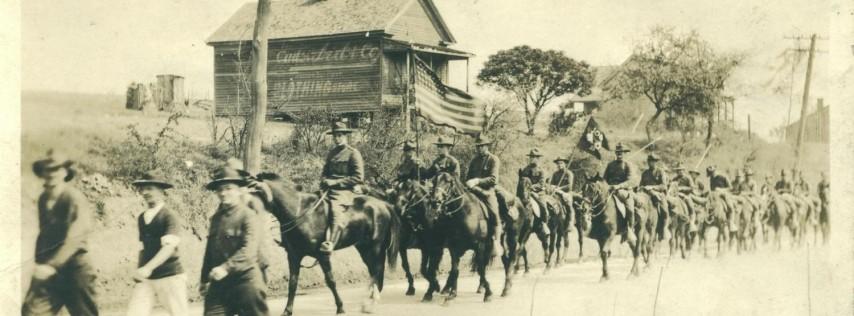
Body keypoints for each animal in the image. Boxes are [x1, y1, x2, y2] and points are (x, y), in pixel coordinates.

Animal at [251, 174, 402, 314]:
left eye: (254, 190)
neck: (299, 212)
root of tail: (384, 204)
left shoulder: (322, 255)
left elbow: (330, 281)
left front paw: (340, 307)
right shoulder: (294, 256)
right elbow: (293, 283)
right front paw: (287, 310)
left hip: (375, 247)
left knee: (377, 270)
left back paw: (370, 302)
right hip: (364, 248)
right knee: (374, 271)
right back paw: (370, 301)